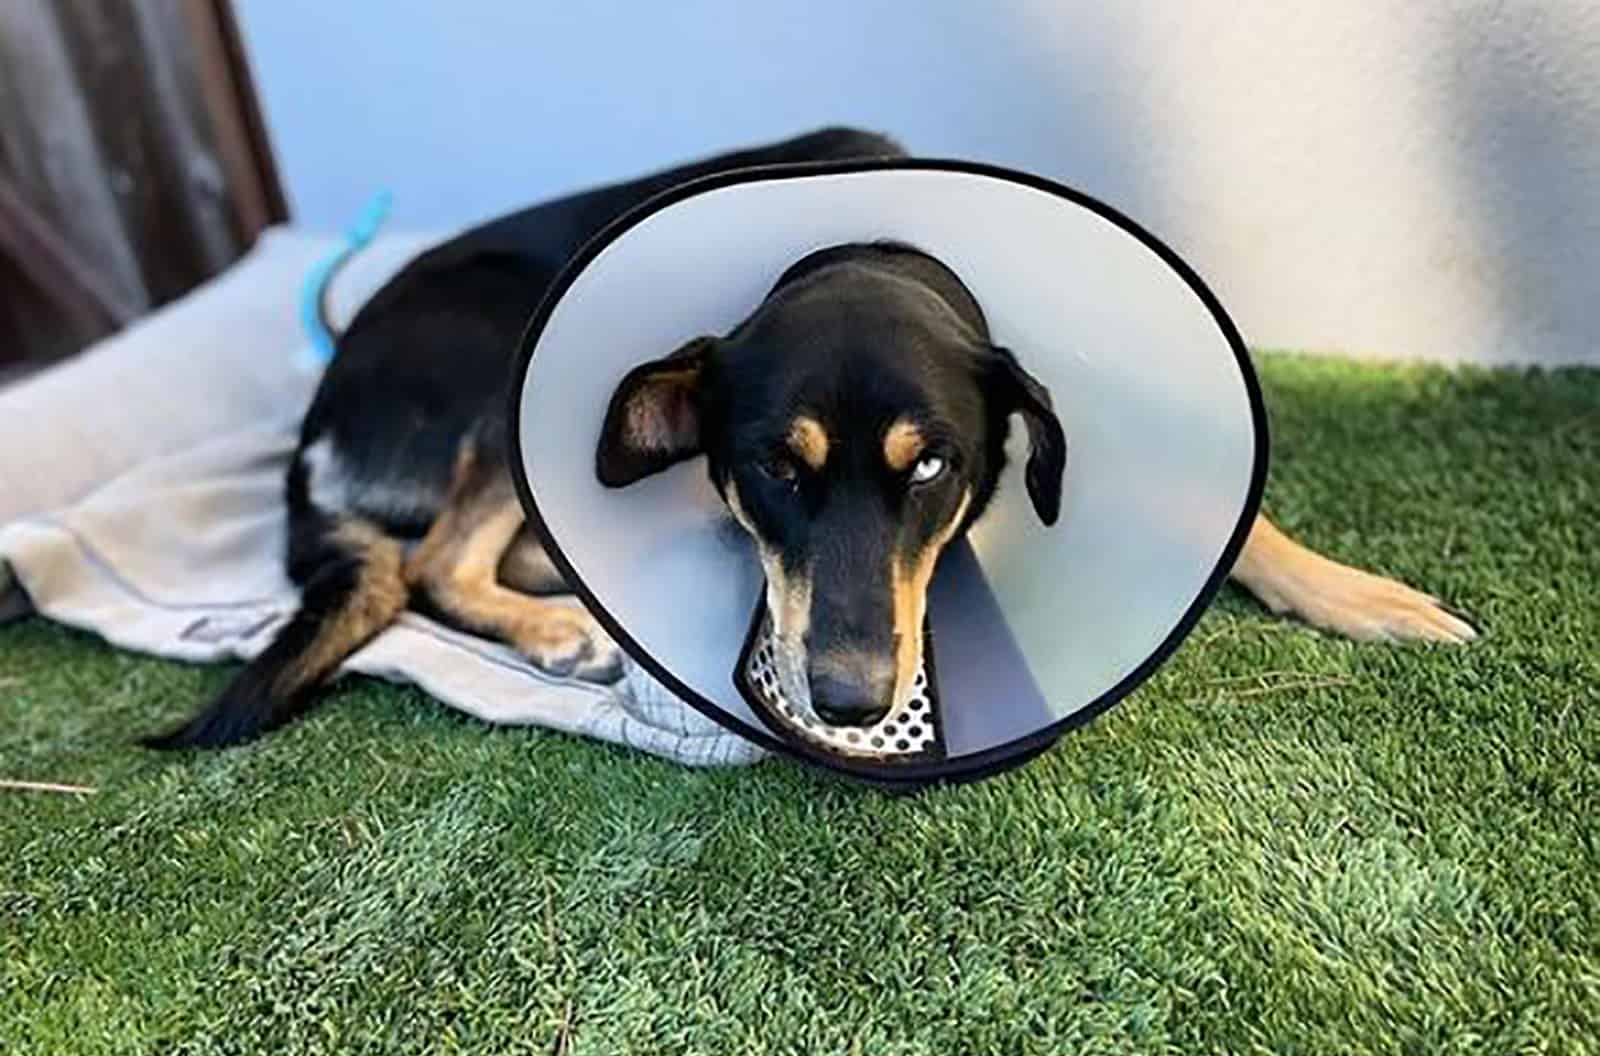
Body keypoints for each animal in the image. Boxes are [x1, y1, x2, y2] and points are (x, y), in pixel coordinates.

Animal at [140, 125, 1472, 752]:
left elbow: (1230, 513)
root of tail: (313, 425)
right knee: (431, 563)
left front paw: (1353, 590)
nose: (848, 701)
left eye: (931, 467)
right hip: (504, 348)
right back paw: (561, 627)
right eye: (774, 469)